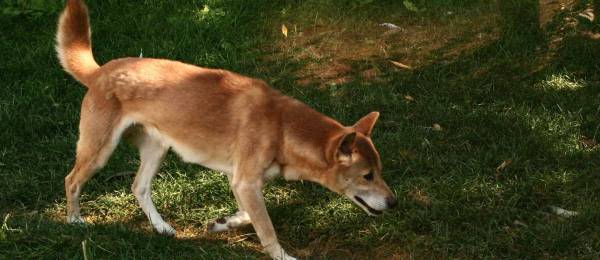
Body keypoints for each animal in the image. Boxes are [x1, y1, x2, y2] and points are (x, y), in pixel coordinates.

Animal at [55, 1, 394, 258]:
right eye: (367, 176)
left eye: (380, 170)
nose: (394, 202)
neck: (281, 126)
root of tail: (101, 71)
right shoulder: (245, 182)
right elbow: (267, 230)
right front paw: (282, 256)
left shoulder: (242, 181)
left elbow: (248, 216)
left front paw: (221, 223)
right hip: (98, 150)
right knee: (72, 180)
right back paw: (75, 221)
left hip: (156, 149)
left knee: (138, 187)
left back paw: (162, 227)